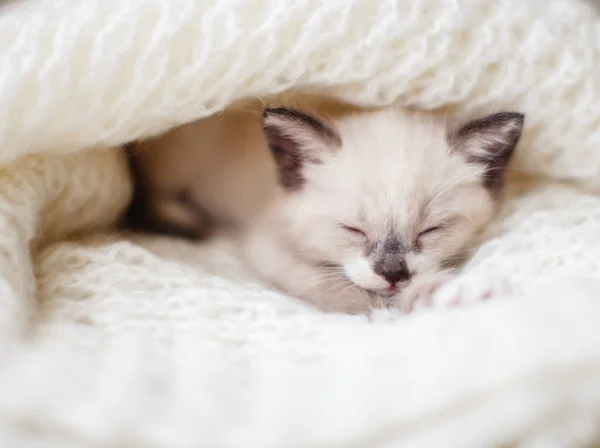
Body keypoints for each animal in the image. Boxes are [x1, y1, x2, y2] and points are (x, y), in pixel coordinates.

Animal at [241, 106, 524, 314]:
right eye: (354, 230)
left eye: (430, 230)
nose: (392, 274)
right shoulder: (266, 246)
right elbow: (330, 285)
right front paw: (384, 312)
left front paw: (441, 291)